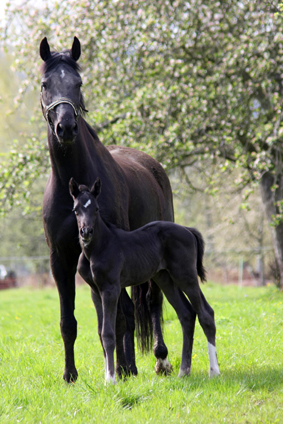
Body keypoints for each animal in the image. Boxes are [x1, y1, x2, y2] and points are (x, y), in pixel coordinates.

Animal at [70, 177, 221, 382]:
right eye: (75, 210)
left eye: (96, 209)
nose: (86, 232)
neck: (98, 248)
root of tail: (188, 230)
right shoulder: (95, 290)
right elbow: (101, 333)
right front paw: (107, 376)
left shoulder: (111, 288)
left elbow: (109, 332)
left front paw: (111, 380)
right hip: (165, 278)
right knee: (186, 314)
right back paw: (183, 371)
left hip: (185, 275)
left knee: (205, 313)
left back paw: (214, 371)